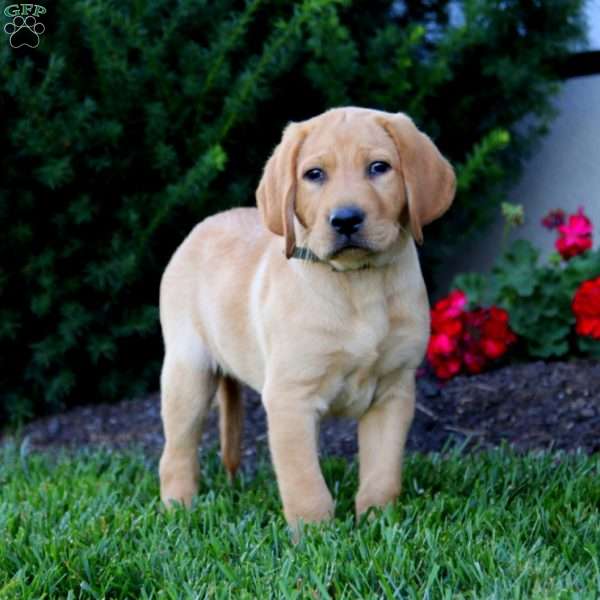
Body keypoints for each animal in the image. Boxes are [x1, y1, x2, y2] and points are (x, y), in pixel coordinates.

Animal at [159, 106, 454, 524]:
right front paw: (315, 533)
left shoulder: (393, 391)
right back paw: (178, 509)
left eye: (379, 167)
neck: (357, 282)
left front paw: (378, 522)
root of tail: (204, 224)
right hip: (188, 372)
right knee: (177, 451)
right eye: (314, 174)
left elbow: (382, 474)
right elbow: (304, 483)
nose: (345, 219)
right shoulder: (289, 396)